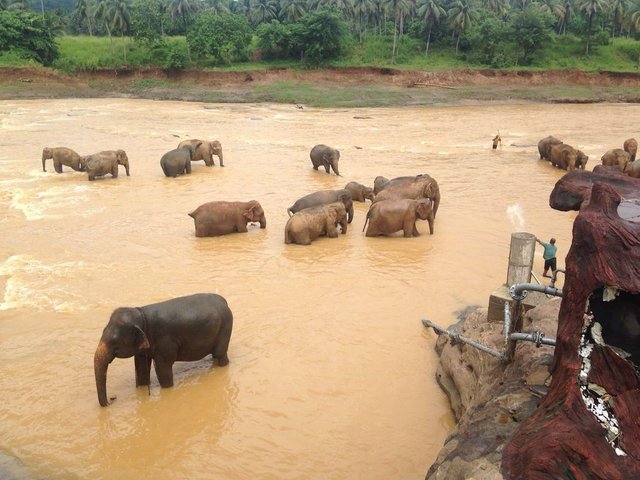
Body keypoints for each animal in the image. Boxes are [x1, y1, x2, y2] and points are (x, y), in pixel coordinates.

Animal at [94, 290, 234, 406]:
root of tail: (224, 301)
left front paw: (167, 388)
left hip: (226, 326)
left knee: (220, 354)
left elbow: (162, 368)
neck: (141, 314)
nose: (111, 400)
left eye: (114, 342)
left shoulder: (164, 341)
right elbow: (141, 367)